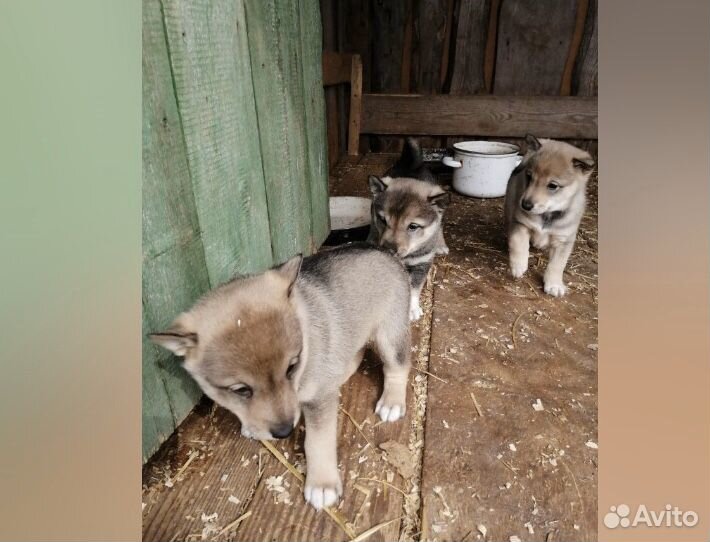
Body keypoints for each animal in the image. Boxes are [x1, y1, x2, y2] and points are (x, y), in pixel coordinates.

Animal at [150, 244, 412, 512]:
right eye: (241, 390)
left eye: (291, 368)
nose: (284, 432)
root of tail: (385, 251)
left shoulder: (318, 401)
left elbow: (318, 441)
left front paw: (322, 485)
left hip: (390, 335)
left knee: (398, 367)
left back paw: (392, 402)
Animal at [368, 138, 450, 320]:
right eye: (382, 220)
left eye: (413, 226)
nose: (389, 249)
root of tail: (412, 163)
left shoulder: (421, 264)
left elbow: (413, 289)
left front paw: (412, 309)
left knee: (440, 224)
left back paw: (440, 244)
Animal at [504, 135, 596, 298]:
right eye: (529, 177)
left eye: (552, 185)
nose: (525, 205)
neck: (547, 215)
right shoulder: (520, 224)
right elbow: (518, 243)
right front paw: (518, 265)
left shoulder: (564, 240)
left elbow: (557, 265)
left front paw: (554, 284)